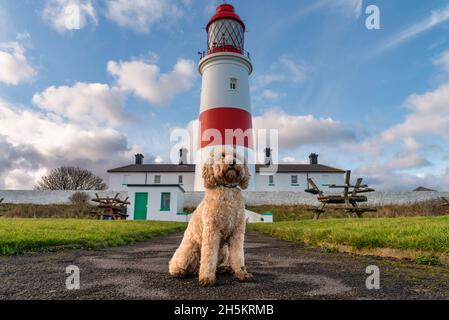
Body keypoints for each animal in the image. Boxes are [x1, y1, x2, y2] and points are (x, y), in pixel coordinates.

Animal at [168, 149, 252, 286]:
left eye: (235, 155)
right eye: (223, 155)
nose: (232, 162)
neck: (227, 188)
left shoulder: (237, 232)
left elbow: (238, 255)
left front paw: (242, 273)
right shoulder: (212, 231)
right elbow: (209, 256)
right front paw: (207, 277)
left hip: (223, 251)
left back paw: (224, 268)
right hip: (189, 250)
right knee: (177, 262)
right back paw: (179, 271)